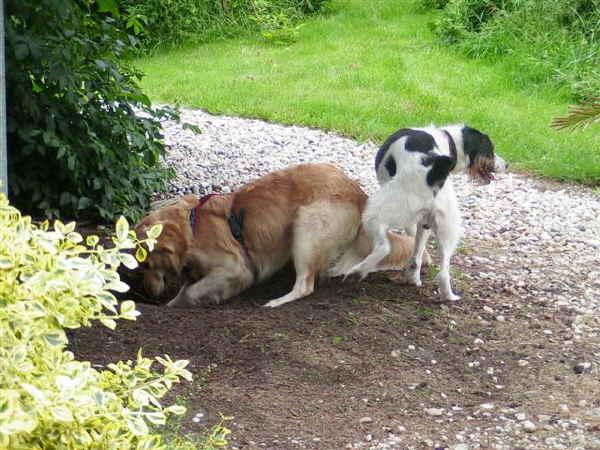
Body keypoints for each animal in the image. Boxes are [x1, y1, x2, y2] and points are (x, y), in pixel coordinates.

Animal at [135, 163, 421, 308]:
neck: (193, 226)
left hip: (305, 228)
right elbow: (187, 288)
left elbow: (192, 292)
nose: (148, 294)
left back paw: (276, 301)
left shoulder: (236, 268)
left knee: (305, 285)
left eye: (146, 264)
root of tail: (360, 194)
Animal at [346, 124, 507, 301]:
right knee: (443, 271)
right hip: (448, 228)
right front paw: (415, 278)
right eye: (490, 150)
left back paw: (358, 271)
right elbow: (417, 252)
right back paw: (448, 295)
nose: (506, 165)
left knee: (384, 247)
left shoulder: (412, 221)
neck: (447, 140)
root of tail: (433, 169)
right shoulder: (425, 222)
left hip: (375, 213)